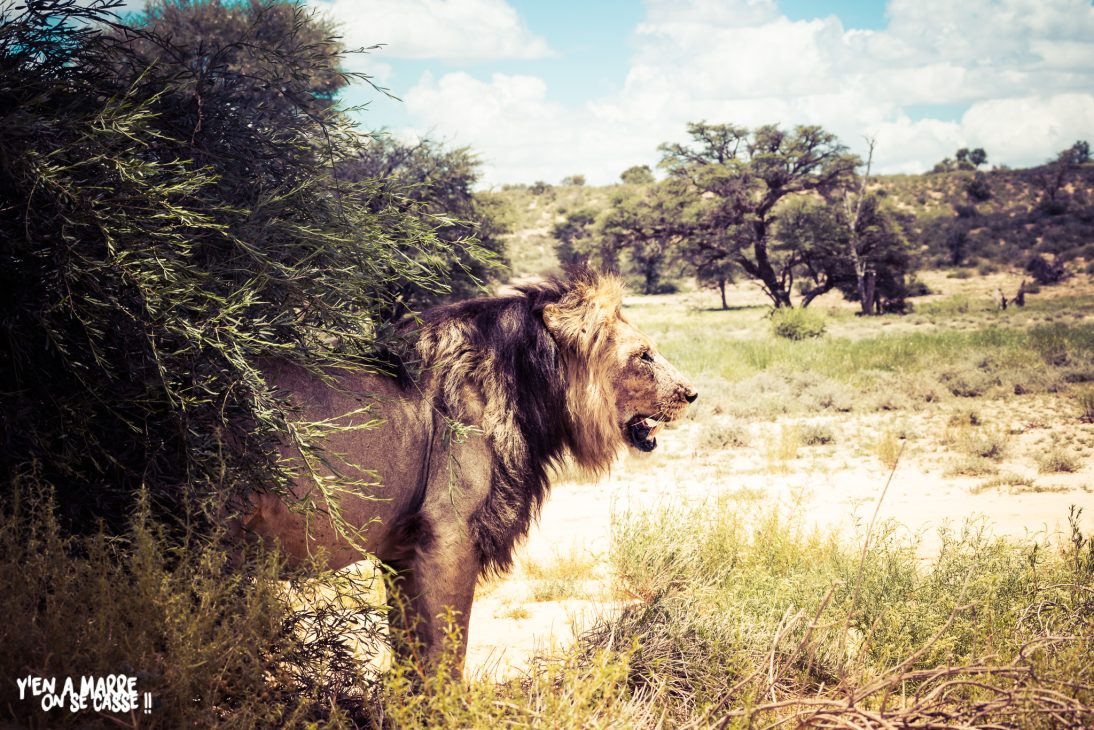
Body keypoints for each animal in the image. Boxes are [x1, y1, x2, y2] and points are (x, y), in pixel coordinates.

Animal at [242, 268, 697, 673]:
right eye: (643, 355)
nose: (692, 393)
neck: (526, 385)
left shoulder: (401, 550)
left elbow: (411, 662)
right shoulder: (448, 535)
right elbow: (447, 658)